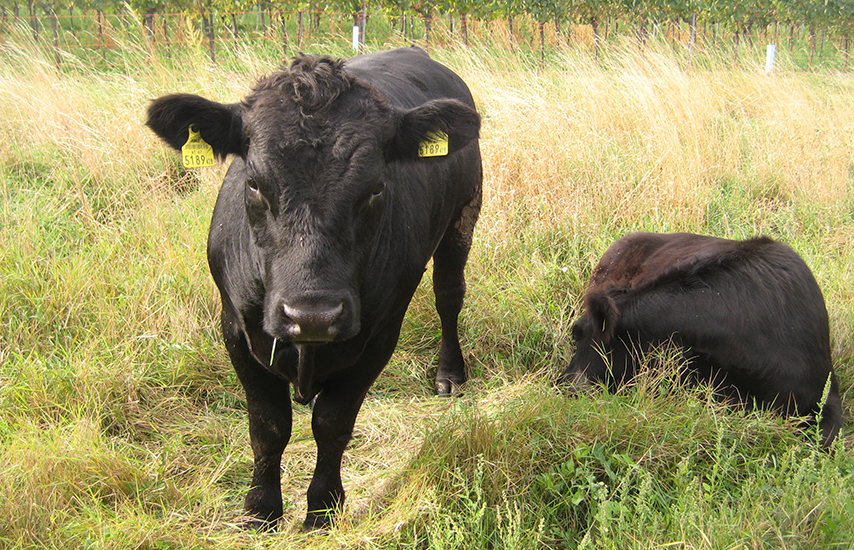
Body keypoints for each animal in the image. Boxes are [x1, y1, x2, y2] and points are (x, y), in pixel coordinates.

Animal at [145, 49, 484, 532]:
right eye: (254, 183)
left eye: (376, 188)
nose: (312, 317)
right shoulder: (236, 328)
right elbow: (268, 425)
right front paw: (261, 508)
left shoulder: (379, 334)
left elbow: (332, 421)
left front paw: (323, 507)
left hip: (464, 215)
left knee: (449, 295)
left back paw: (449, 373)